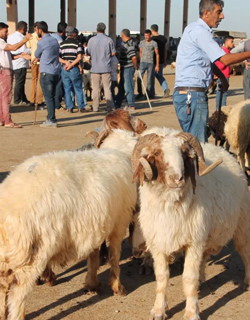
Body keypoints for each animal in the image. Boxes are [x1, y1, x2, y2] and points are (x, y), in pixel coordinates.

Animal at [0, 148, 137, 320]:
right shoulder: (119, 223)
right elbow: (114, 257)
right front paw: (117, 286)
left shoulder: (95, 224)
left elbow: (93, 255)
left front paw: (92, 283)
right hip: (31, 255)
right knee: (18, 295)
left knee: (2, 289)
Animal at [132, 131, 250, 320]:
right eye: (157, 153)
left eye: (183, 152)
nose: (178, 178)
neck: (170, 206)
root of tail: (225, 152)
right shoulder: (158, 243)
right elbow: (162, 278)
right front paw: (159, 310)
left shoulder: (193, 243)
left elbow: (188, 278)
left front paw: (191, 312)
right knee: (205, 257)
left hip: (241, 226)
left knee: (246, 253)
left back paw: (247, 282)